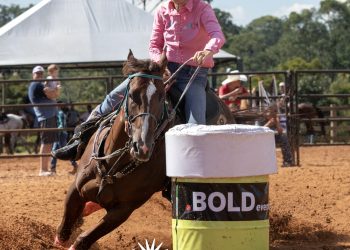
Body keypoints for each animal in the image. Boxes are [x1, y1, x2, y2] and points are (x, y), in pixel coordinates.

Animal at [54, 51, 235, 250]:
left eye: (161, 96)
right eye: (132, 94)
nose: (142, 147)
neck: (113, 163)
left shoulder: (124, 210)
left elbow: (83, 239)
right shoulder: (75, 189)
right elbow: (65, 227)